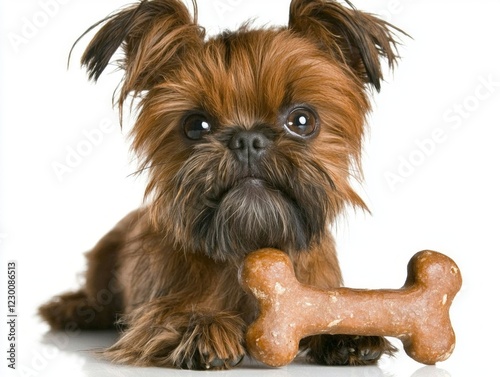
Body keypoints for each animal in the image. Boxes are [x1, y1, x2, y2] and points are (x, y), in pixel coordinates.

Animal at [39, 0, 406, 368]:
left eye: (302, 121)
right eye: (195, 125)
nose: (247, 140)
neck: (247, 247)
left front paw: (343, 331)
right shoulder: (152, 312)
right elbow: (166, 317)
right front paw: (202, 327)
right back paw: (74, 308)